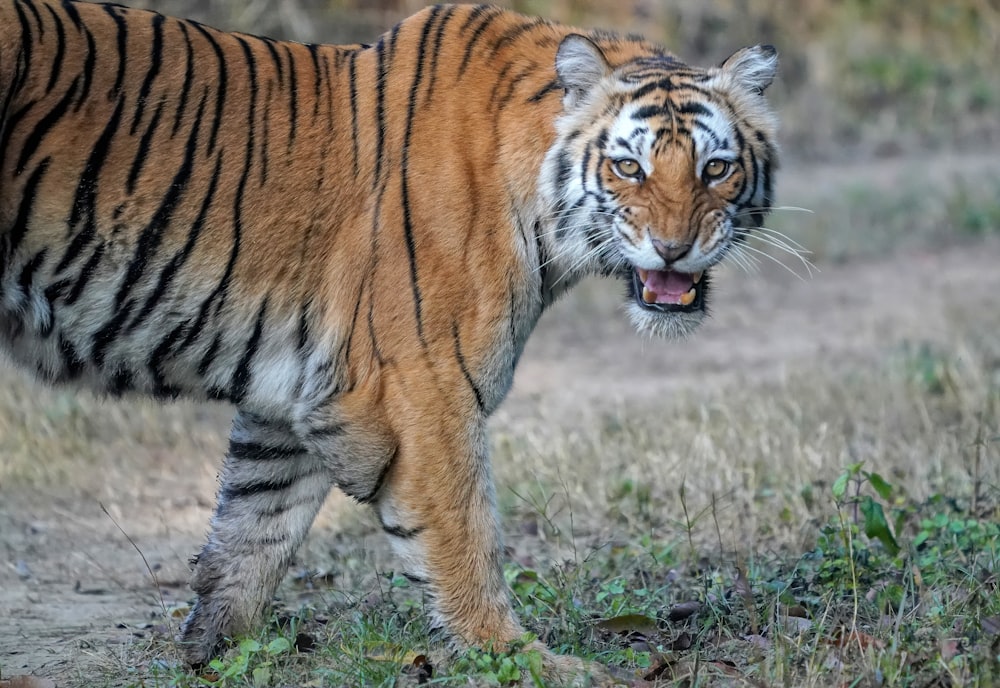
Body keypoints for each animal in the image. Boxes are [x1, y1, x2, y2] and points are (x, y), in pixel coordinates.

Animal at [0, 0, 776, 676]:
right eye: (628, 167)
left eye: (715, 167)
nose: (674, 249)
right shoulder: (420, 385)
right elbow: (464, 534)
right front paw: (522, 659)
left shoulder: (301, 389)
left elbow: (254, 524)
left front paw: (212, 653)